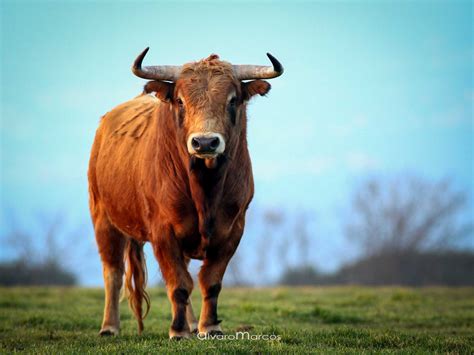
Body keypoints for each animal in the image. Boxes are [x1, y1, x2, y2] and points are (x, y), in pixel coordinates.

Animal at [87, 47, 284, 340]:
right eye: (180, 101)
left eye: (232, 100)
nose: (205, 142)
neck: (206, 190)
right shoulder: (163, 231)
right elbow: (178, 284)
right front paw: (178, 331)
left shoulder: (232, 230)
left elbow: (210, 282)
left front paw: (209, 327)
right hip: (103, 219)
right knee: (113, 273)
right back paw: (110, 327)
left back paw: (192, 324)